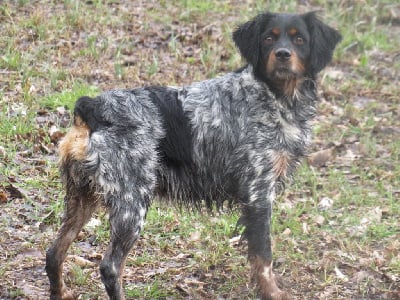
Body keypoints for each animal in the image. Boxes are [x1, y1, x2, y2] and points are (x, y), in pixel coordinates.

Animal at [46, 11, 340, 300]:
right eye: (269, 38)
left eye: (299, 39)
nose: (282, 54)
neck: (275, 96)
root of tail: (92, 108)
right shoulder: (259, 193)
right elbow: (263, 256)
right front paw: (273, 293)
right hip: (131, 204)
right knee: (110, 267)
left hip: (82, 197)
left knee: (54, 253)